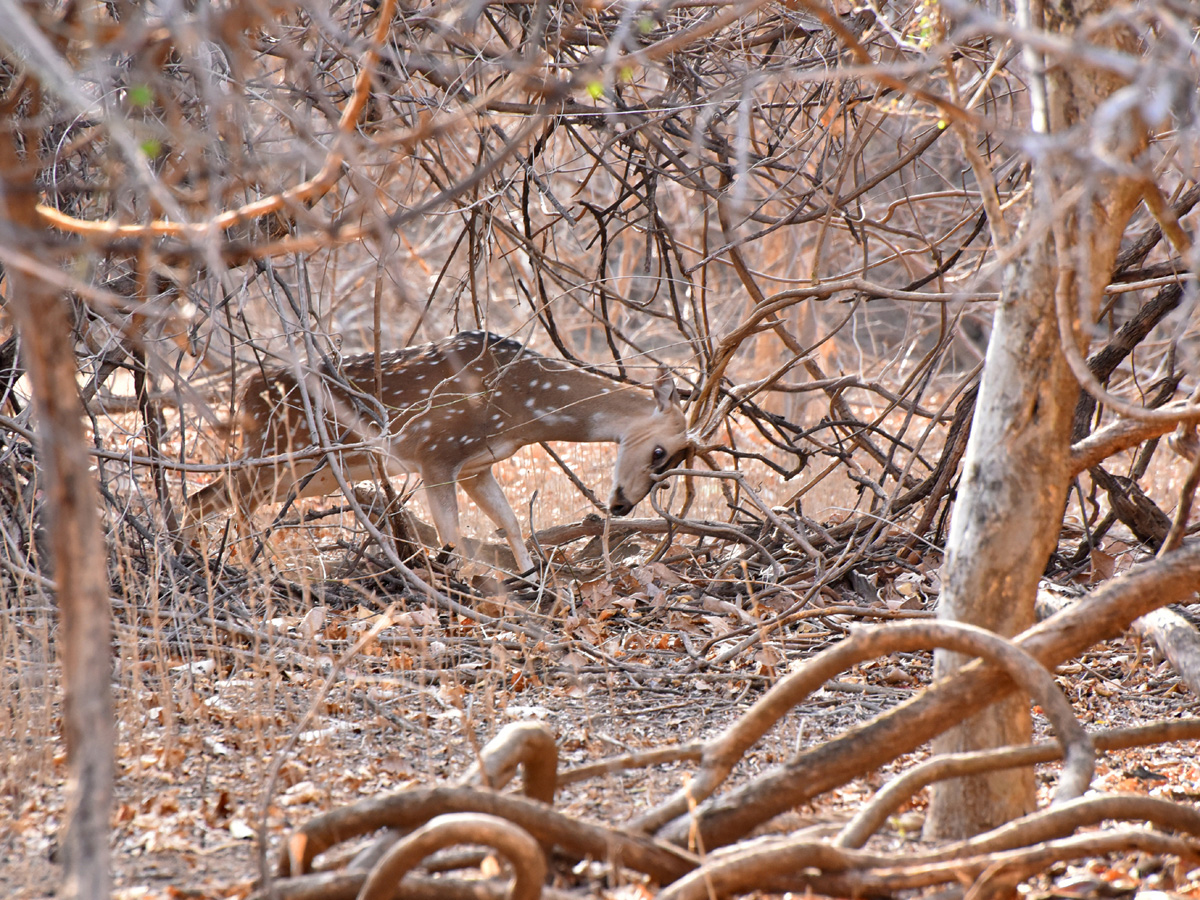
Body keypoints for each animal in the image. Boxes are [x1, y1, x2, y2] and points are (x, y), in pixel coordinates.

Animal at [187, 328, 696, 571]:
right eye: (659, 453)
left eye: (674, 462)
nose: (622, 505)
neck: (523, 407)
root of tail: (244, 394)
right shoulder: (436, 451)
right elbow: (451, 537)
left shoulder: (475, 465)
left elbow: (510, 523)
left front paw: (530, 577)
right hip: (275, 457)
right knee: (224, 500)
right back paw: (251, 567)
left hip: (302, 474)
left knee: (205, 496)